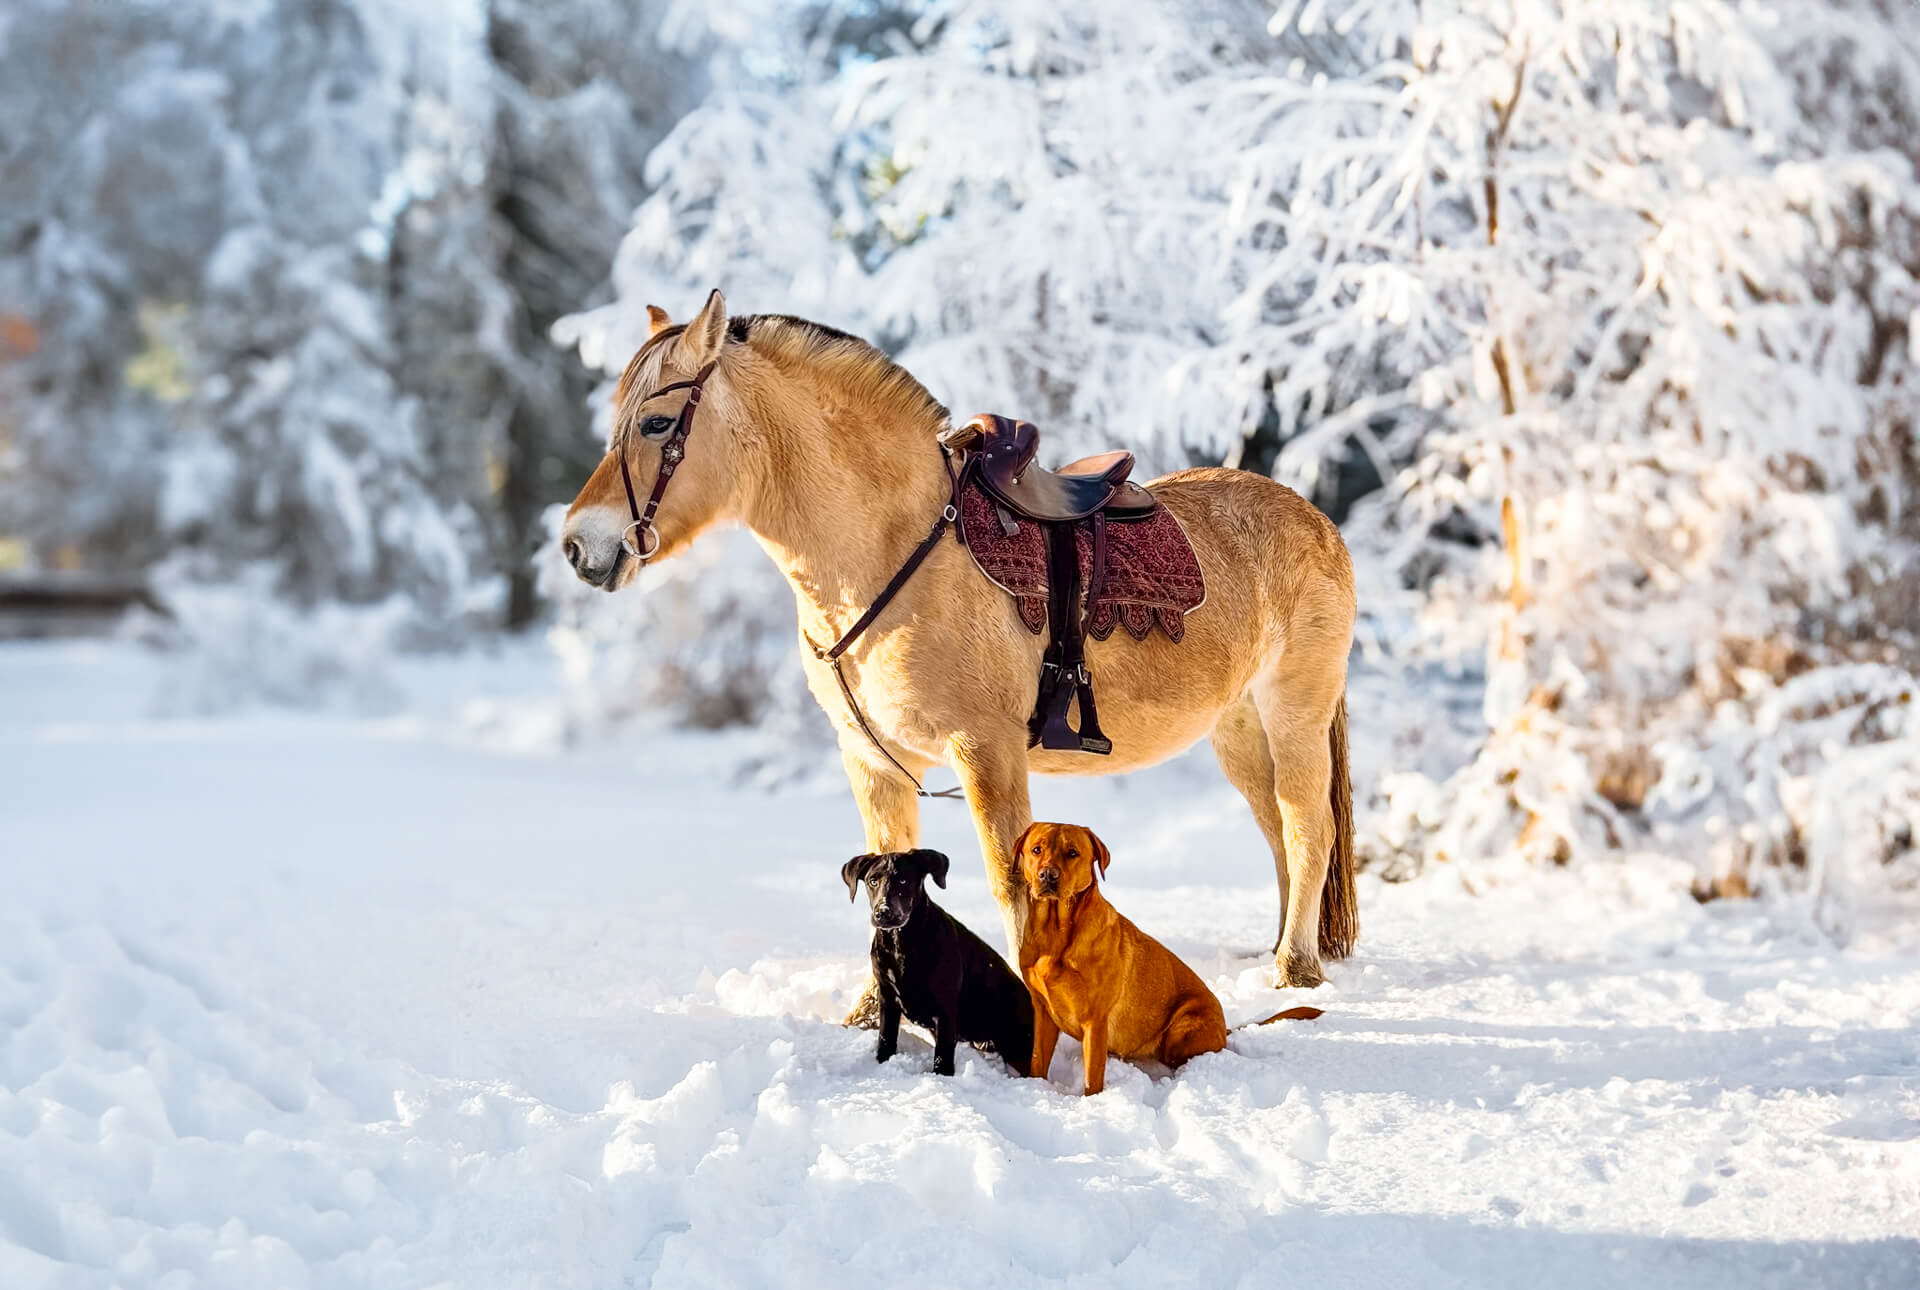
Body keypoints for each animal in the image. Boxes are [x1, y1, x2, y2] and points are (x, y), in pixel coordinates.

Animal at [560, 291, 1359, 990]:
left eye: (657, 424)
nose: (576, 544)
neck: (892, 549)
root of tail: (1316, 521)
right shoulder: (873, 762)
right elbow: (882, 873)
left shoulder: (987, 750)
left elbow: (1013, 889)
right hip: (1237, 727)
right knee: (1278, 835)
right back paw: (1282, 951)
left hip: (1294, 714)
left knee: (1306, 826)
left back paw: (1295, 969)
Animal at [840, 844, 1036, 1075]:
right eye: (873, 881)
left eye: (903, 880)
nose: (884, 912)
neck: (901, 943)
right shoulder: (887, 998)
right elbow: (886, 1039)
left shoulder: (945, 1008)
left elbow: (943, 1054)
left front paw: (942, 1077)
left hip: (1017, 1044)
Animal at [1021, 825, 1228, 1090]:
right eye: (1036, 849)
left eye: (1072, 852)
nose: (1048, 874)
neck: (1054, 932)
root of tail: (1226, 1029)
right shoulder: (1043, 1011)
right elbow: (1037, 1060)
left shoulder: (1095, 1019)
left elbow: (1092, 1076)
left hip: (1182, 1029)